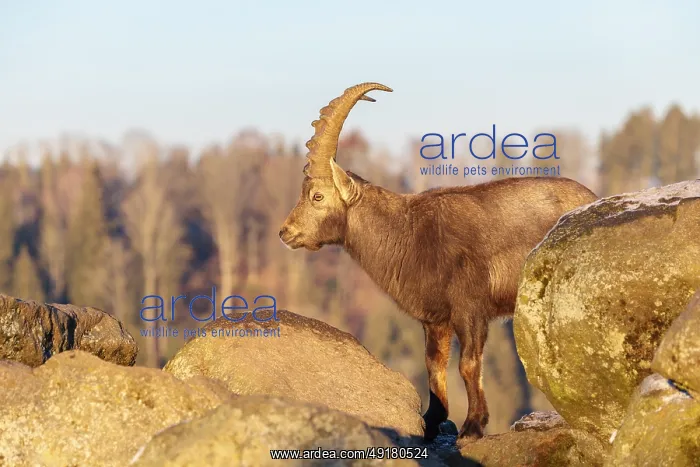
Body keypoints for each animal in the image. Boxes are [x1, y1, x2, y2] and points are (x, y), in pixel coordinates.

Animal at [279, 82, 598, 441]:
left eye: (317, 196)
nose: (285, 232)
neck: (406, 233)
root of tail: (593, 198)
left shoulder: (471, 309)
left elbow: (468, 364)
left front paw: (473, 426)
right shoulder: (435, 319)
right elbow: (434, 366)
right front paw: (431, 422)